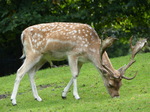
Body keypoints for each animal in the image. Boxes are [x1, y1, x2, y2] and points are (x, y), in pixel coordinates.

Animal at [10, 22, 146, 105]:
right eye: (110, 84)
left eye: (121, 84)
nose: (116, 96)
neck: (90, 48)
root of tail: (22, 34)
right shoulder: (72, 54)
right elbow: (75, 74)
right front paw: (76, 96)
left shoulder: (81, 60)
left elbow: (76, 74)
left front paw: (64, 94)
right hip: (32, 53)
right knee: (20, 71)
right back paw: (13, 100)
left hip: (42, 57)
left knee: (31, 73)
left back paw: (37, 98)